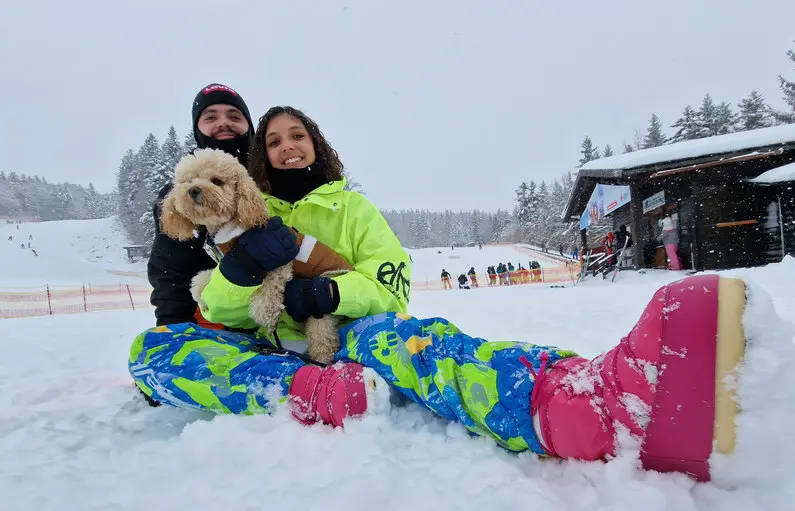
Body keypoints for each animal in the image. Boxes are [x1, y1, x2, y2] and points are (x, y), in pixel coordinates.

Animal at [159, 148, 352, 364]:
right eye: (188, 181)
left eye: (217, 181)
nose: (193, 190)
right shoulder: (229, 261)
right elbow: (215, 275)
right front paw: (199, 290)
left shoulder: (279, 262)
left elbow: (268, 293)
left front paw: (266, 316)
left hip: (319, 302)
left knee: (323, 337)